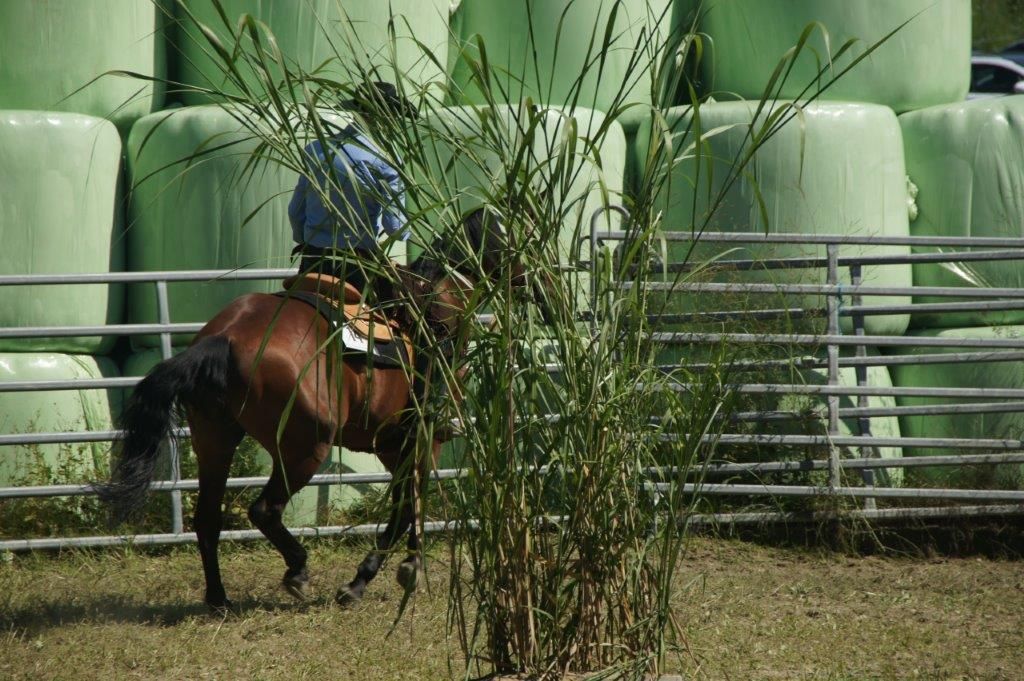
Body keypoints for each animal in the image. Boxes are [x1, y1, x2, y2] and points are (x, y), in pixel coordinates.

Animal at [97, 207, 524, 610]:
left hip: (214, 438)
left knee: (208, 518)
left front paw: (392, 572)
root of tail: (224, 338)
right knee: (264, 509)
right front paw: (386, 575)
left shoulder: (392, 443)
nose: (536, 284)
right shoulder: (424, 438)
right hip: (304, 448)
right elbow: (407, 506)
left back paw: (219, 598)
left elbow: (408, 504)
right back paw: (297, 570)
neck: (444, 302)